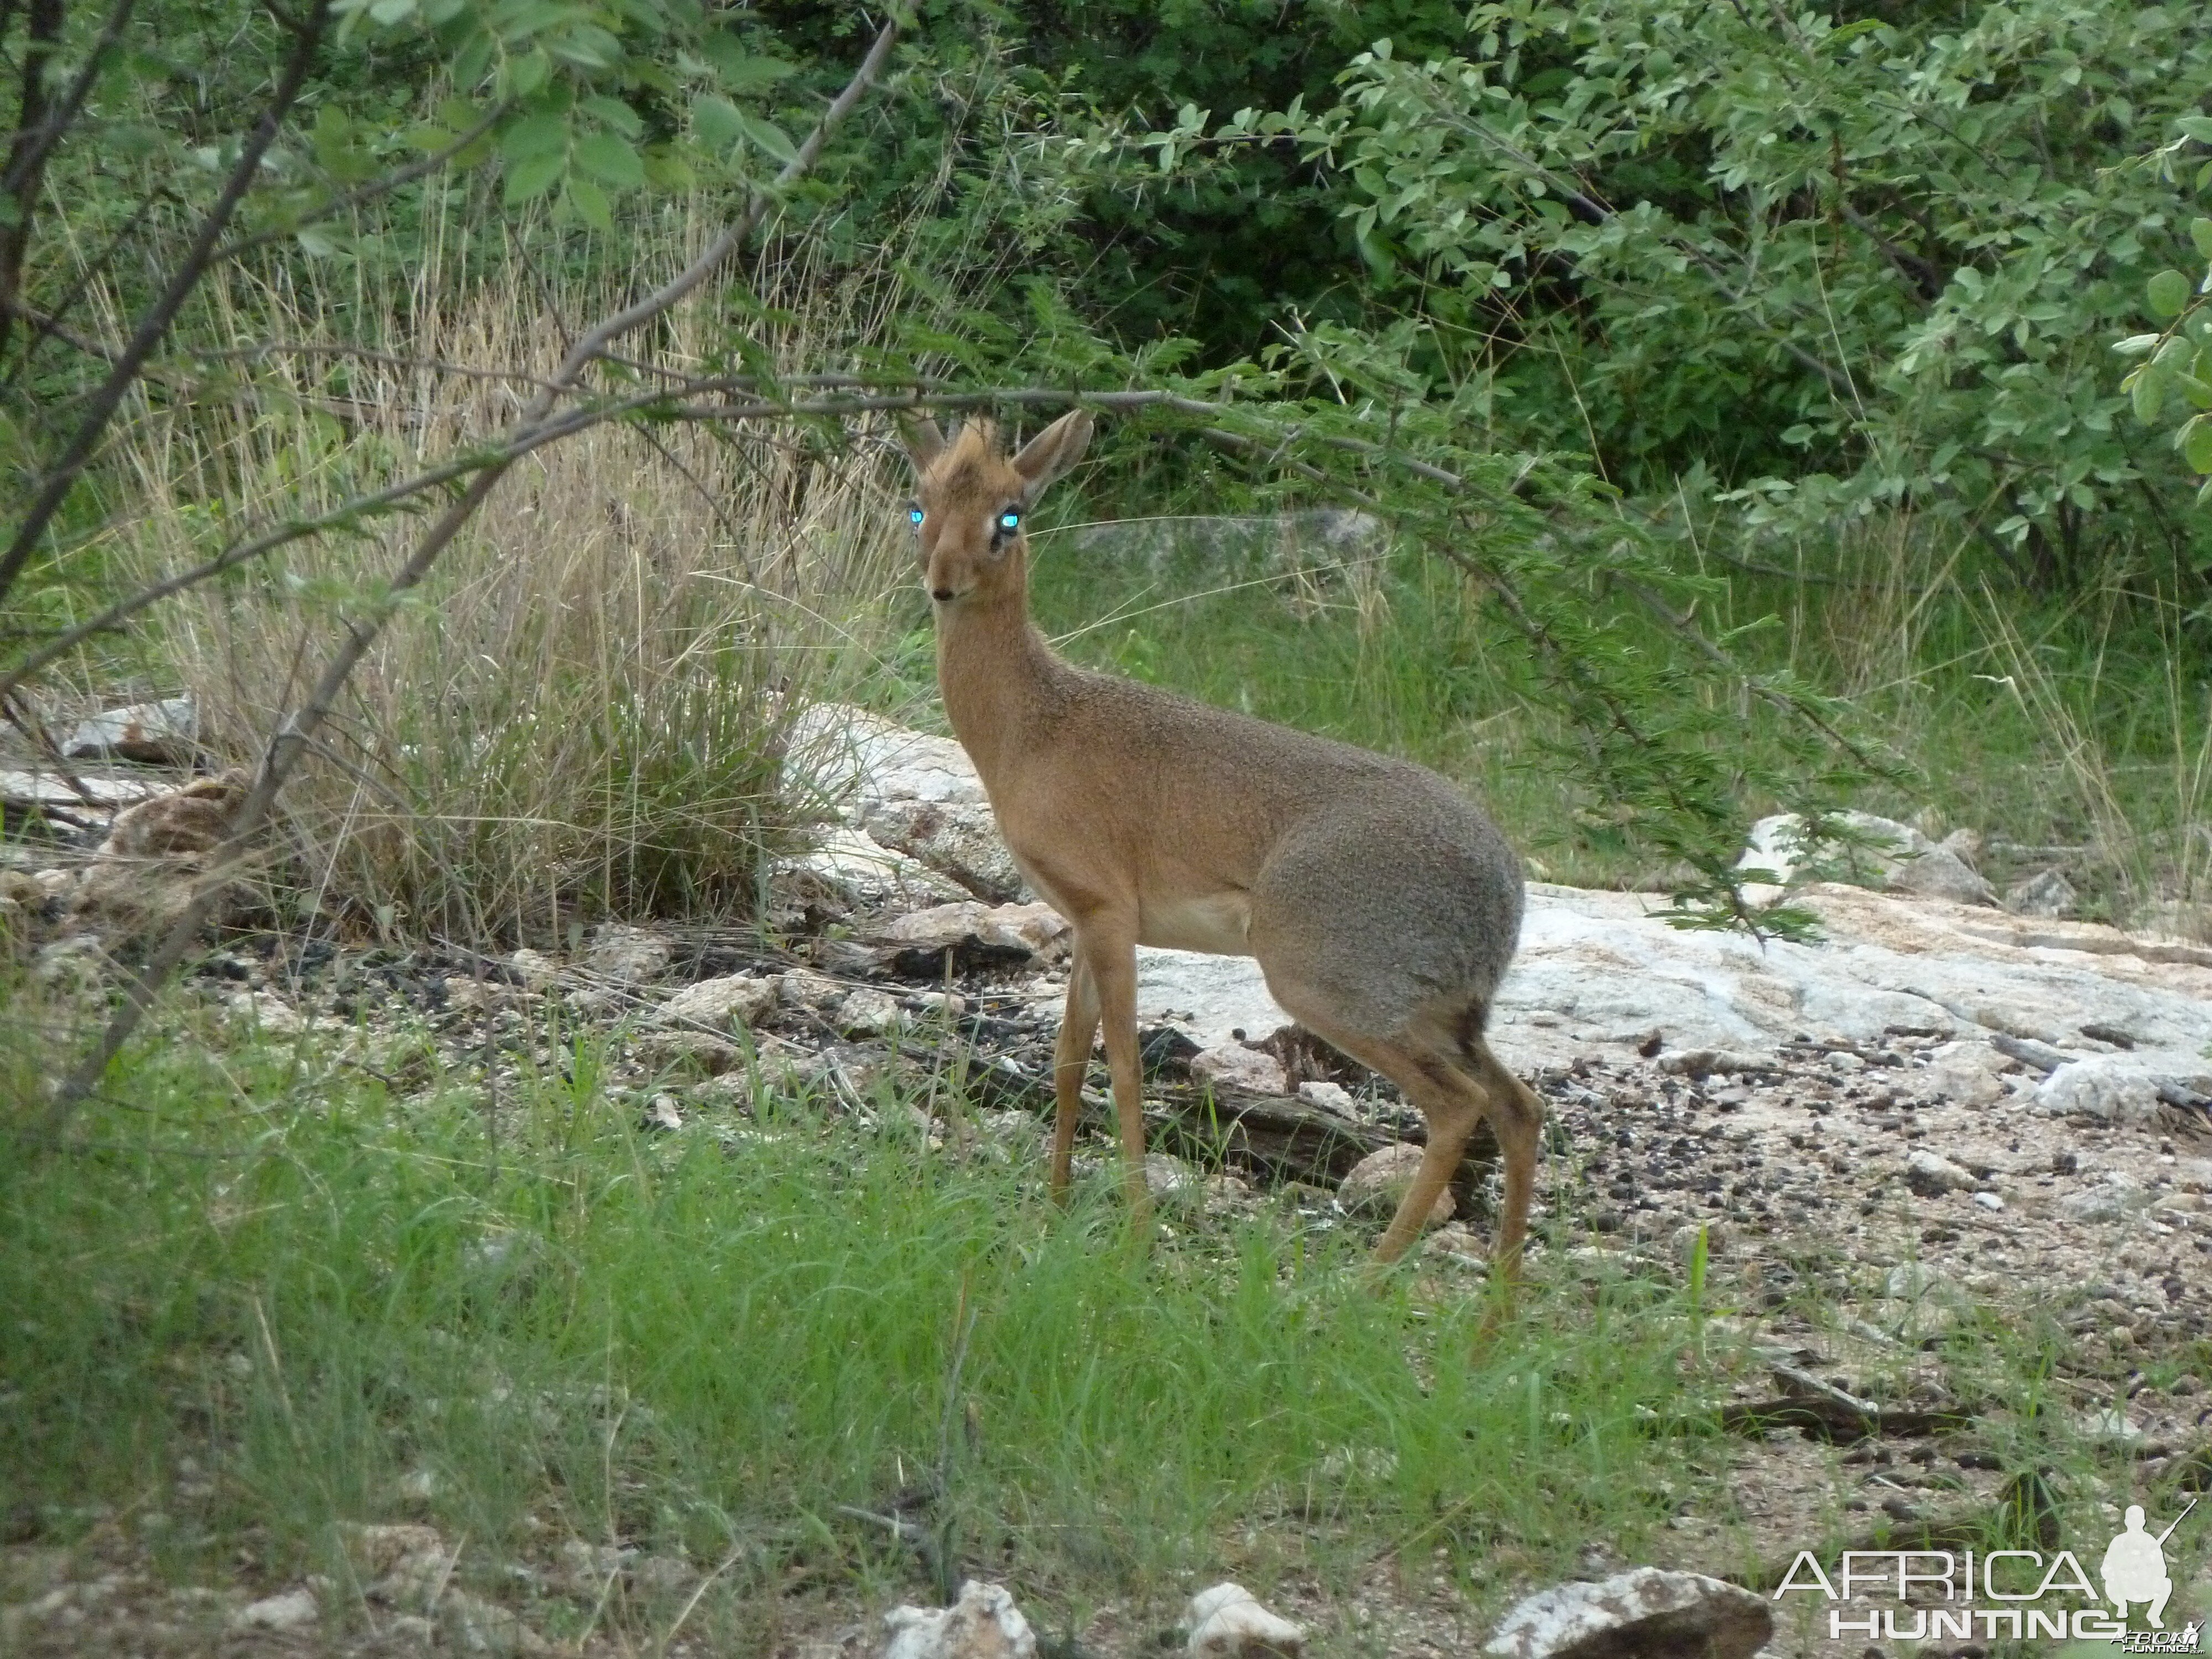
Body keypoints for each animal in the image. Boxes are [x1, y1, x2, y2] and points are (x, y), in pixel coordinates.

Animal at [898, 409, 1540, 1283]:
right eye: (919, 505)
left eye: (1011, 517)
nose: (943, 583)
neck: (1032, 726)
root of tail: (1504, 890)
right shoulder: (1084, 919)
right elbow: (1068, 1058)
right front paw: (1055, 1209)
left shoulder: (1107, 912)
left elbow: (1123, 1068)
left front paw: (1133, 1234)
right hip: (1444, 1015)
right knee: (1520, 1107)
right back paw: (1495, 1307)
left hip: (1329, 987)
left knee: (1459, 1107)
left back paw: (1369, 1283)